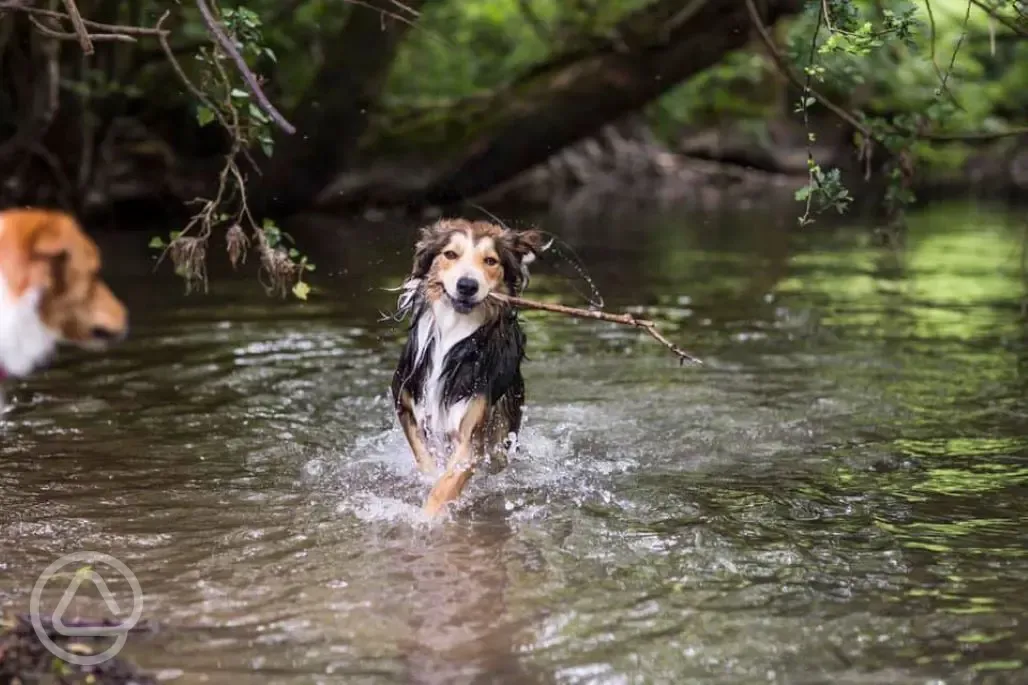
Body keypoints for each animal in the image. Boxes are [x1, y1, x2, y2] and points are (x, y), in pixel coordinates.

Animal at [388, 217, 546, 512]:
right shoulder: (405, 403)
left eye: (491, 261)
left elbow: (445, 486)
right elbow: (425, 460)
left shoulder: (472, 433)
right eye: (450, 254)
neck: (454, 329)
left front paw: (427, 517)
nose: (467, 285)